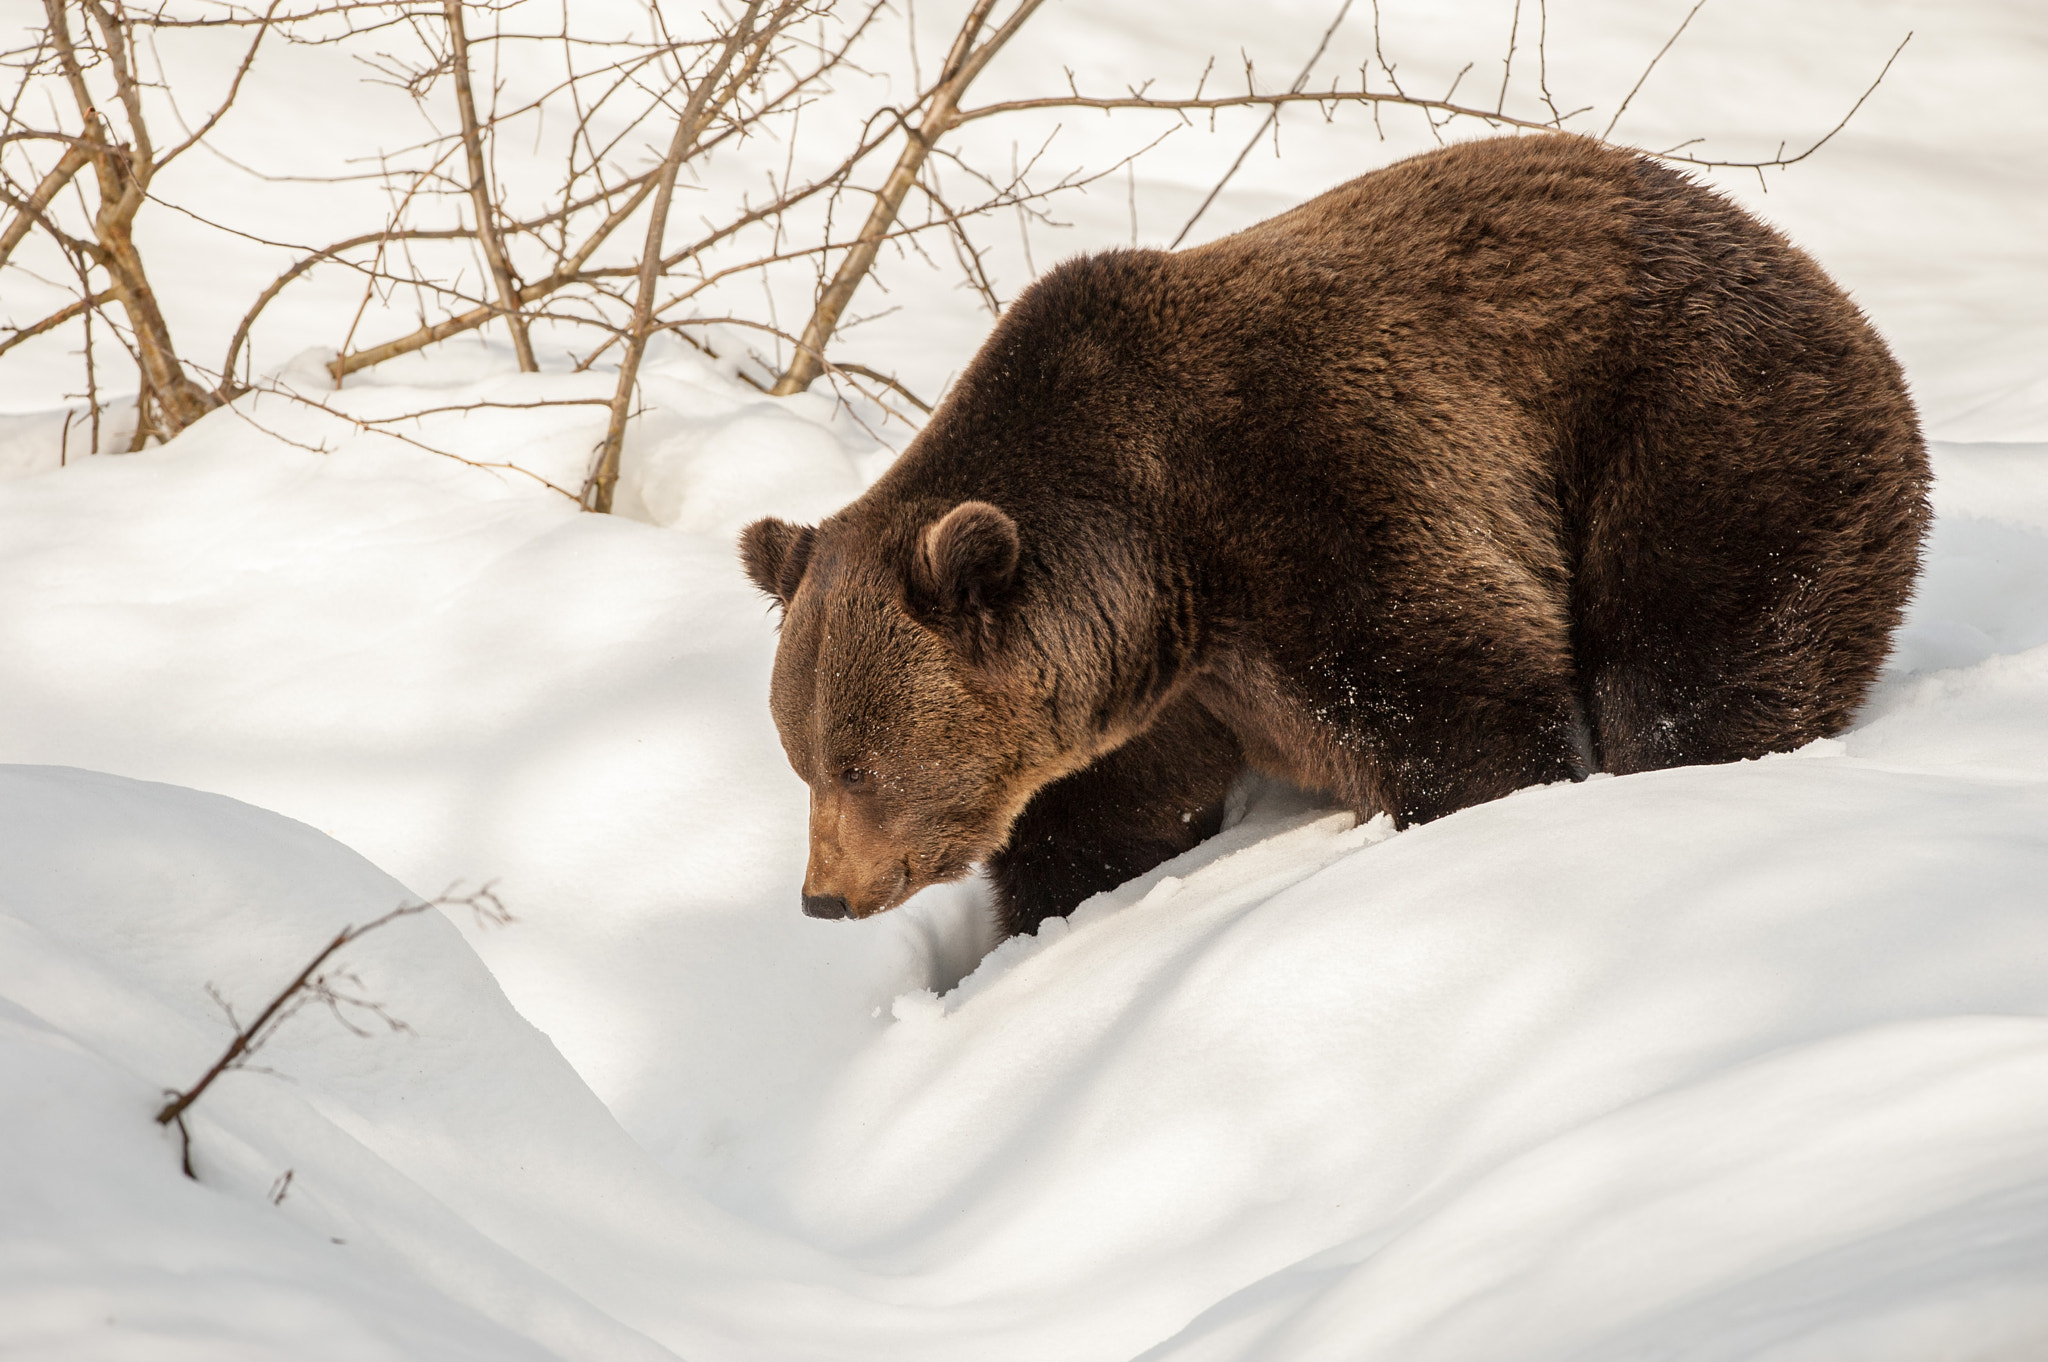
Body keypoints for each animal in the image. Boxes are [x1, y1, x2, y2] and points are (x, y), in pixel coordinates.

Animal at [745, 133, 1925, 933]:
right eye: (800, 759)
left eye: (857, 764)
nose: (823, 896)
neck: (1160, 561)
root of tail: (1819, 277)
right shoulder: (1158, 699)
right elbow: (1100, 825)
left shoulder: (1323, 495)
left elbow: (1460, 700)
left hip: (1704, 427)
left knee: (1695, 654)